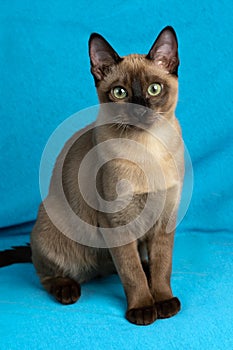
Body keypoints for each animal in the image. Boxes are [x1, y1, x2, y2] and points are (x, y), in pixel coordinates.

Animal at [0, 26, 185, 326]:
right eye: (120, 93)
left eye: (154, 89)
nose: (138, 109)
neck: (148, 148)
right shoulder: (117, 223)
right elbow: (131, 273)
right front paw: (143, 309)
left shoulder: (165, 220)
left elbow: (162, 267)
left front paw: (164, 302)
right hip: (53, 230)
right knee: (46, 273)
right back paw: (67, 291)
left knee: (124, 267)